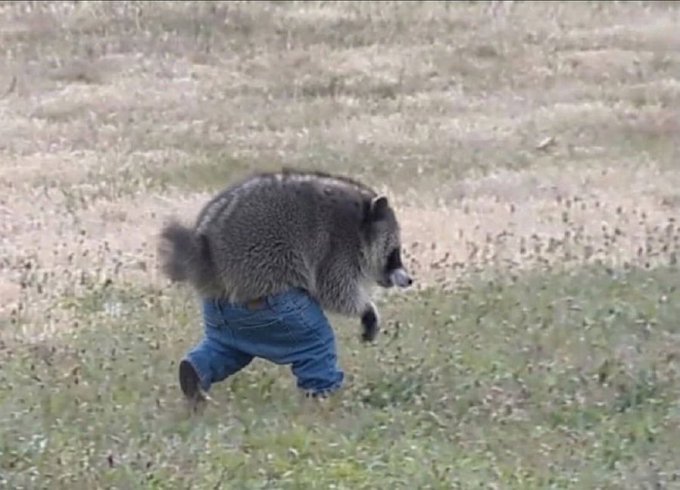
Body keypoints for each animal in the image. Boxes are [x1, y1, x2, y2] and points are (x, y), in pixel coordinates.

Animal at [158, 168, 412, 342]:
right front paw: (366, 308)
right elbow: (334, 290)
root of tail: (203, 246)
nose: (410, 280)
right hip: (258, 262)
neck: (361, 220)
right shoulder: (337, 247)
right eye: (394, 253)